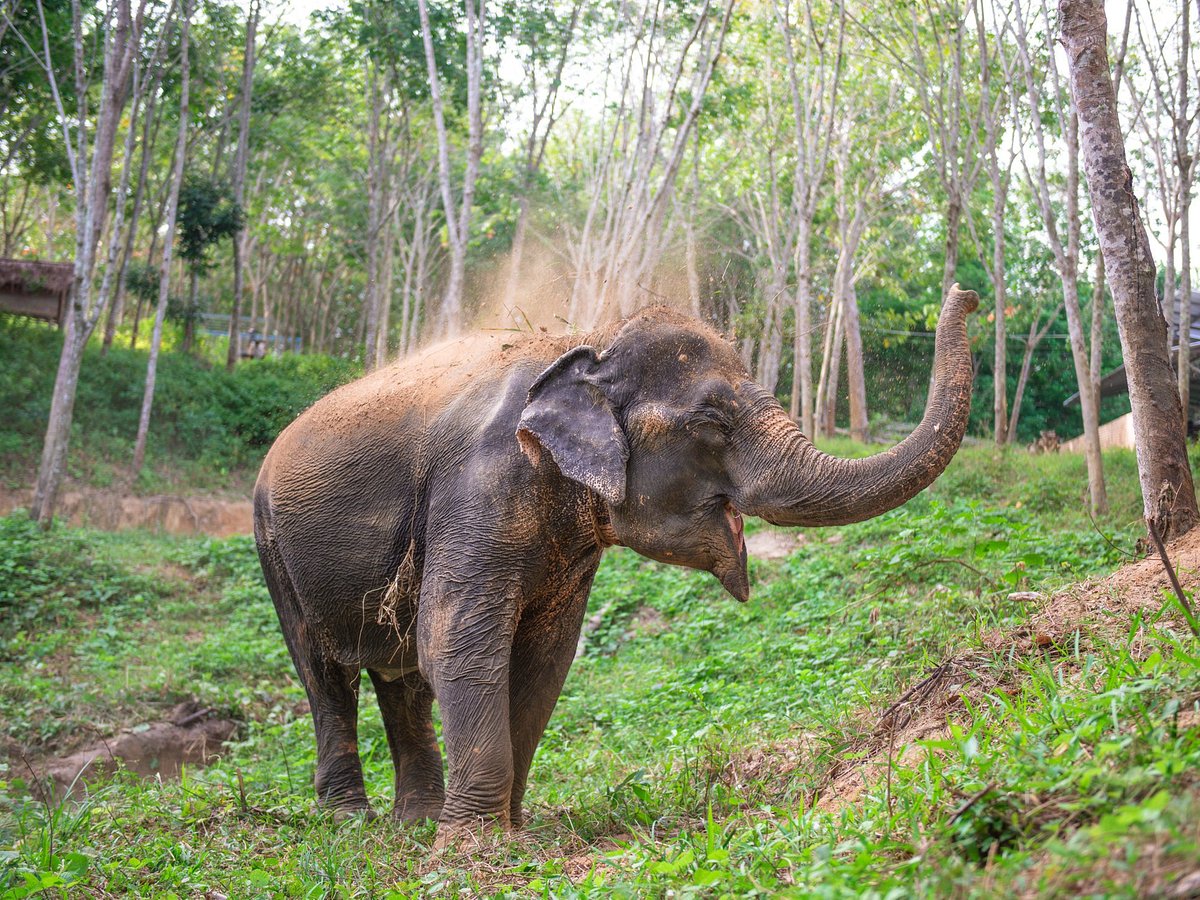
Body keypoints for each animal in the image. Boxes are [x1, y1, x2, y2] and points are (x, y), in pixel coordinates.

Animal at [250, 285, 974, 844]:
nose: (966, 294)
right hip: (272, 546)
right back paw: (350, 820)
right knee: (325, 673)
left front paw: (512, 830)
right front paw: (475, 847)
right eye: (712, 420)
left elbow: (543, 660)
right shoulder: (478, 485)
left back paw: (414, 822)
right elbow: (458, 638)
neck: (587, 345)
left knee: (400, 677)